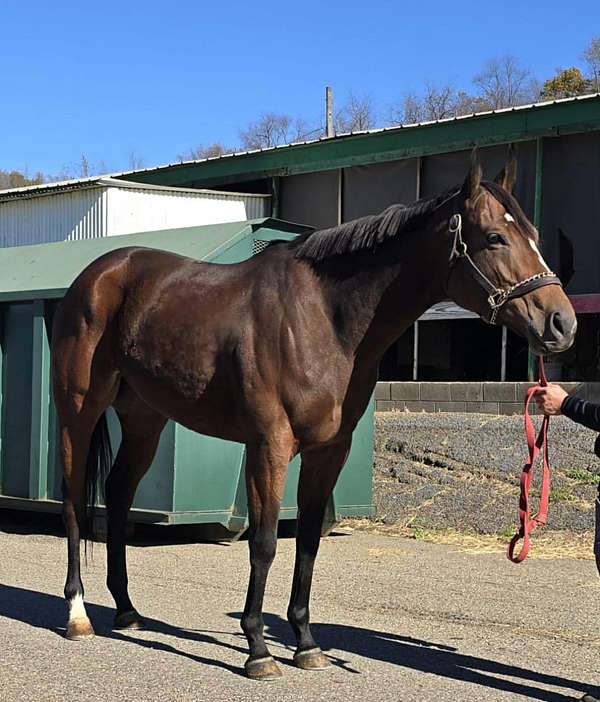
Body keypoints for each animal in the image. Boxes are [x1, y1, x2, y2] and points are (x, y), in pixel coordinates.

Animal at [51, 148, 576, 680]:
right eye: (495, 237)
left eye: (534, 234)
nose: (562, 323)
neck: (322, 319)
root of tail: (97, 275)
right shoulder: (270, 445)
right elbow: (264, 543)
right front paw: (258, 650)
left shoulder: (329, 451)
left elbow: (307, 541)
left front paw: (304, 643)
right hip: (78, 410)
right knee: (73, 500)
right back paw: (77, 614)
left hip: (146, 419)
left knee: (118, 495)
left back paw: (126, 610)